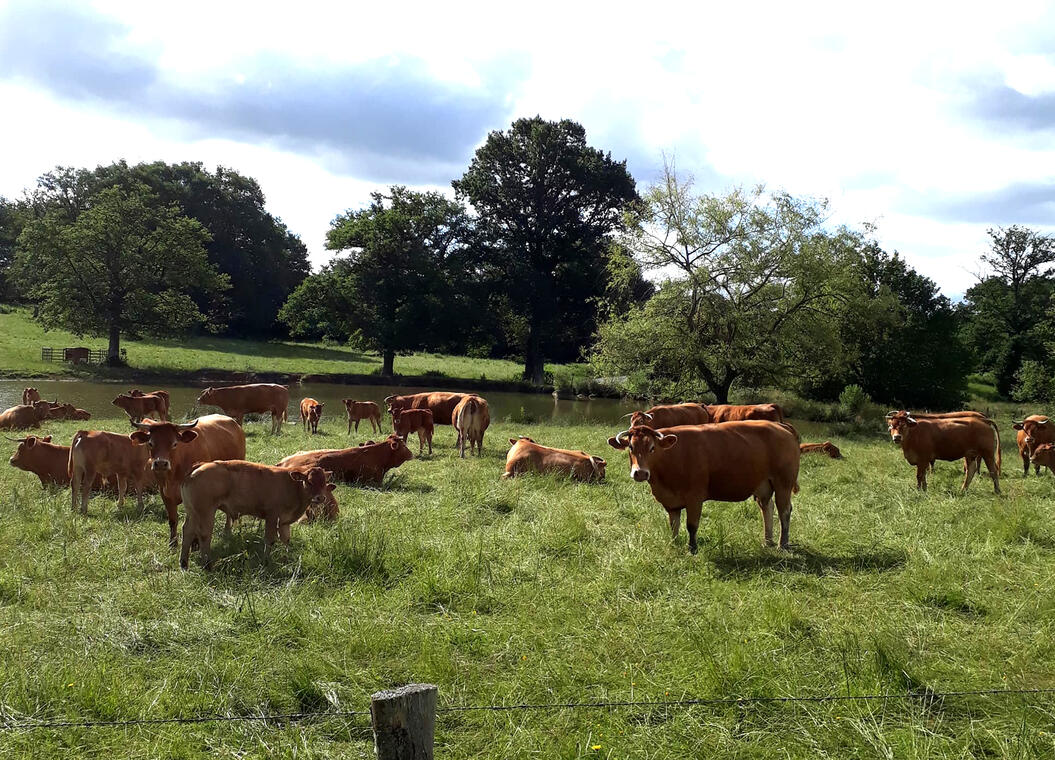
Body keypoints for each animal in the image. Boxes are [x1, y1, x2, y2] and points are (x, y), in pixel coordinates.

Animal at [128, 415, 245, 544]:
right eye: (150, 443)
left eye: (174, 444)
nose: (161, 463)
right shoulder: (165, 494)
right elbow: (173, 520)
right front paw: (173, 543)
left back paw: (227, 530)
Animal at [177, 458, 333, 570]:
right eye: (310, 481)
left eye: (324, 482)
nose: (320, 498)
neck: (292, 486)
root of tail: (200, 465)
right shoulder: (272, 516)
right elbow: (270, 540)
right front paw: (266, 561)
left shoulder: (284, 521)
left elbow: (286, 539)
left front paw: (287, 559)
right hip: (206, 512)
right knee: (204, 535)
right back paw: (207, 564)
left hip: (192, 512)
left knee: (188, 531)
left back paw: (184, 563)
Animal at [611, 422, 797, 553]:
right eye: (631, 447)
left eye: (652, 448)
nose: (640, 473)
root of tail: (780, 425)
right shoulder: (671, 502)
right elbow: (673, 525)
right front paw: (674, 544)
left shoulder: (695, 497)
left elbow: (691, 525)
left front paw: (692, 549)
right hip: (763, 485)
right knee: (767, 507)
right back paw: (768, 541)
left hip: (783, 483)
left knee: (784, 511)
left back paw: (782, 544)